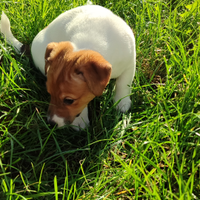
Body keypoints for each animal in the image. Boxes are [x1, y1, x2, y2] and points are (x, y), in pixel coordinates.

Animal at [0, 4, 136, 130]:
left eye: (69, 100)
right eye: (49, 93)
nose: (51, 124)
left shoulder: (130, 62)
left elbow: (124, 84)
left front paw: (121, 102)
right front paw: (80, 121)